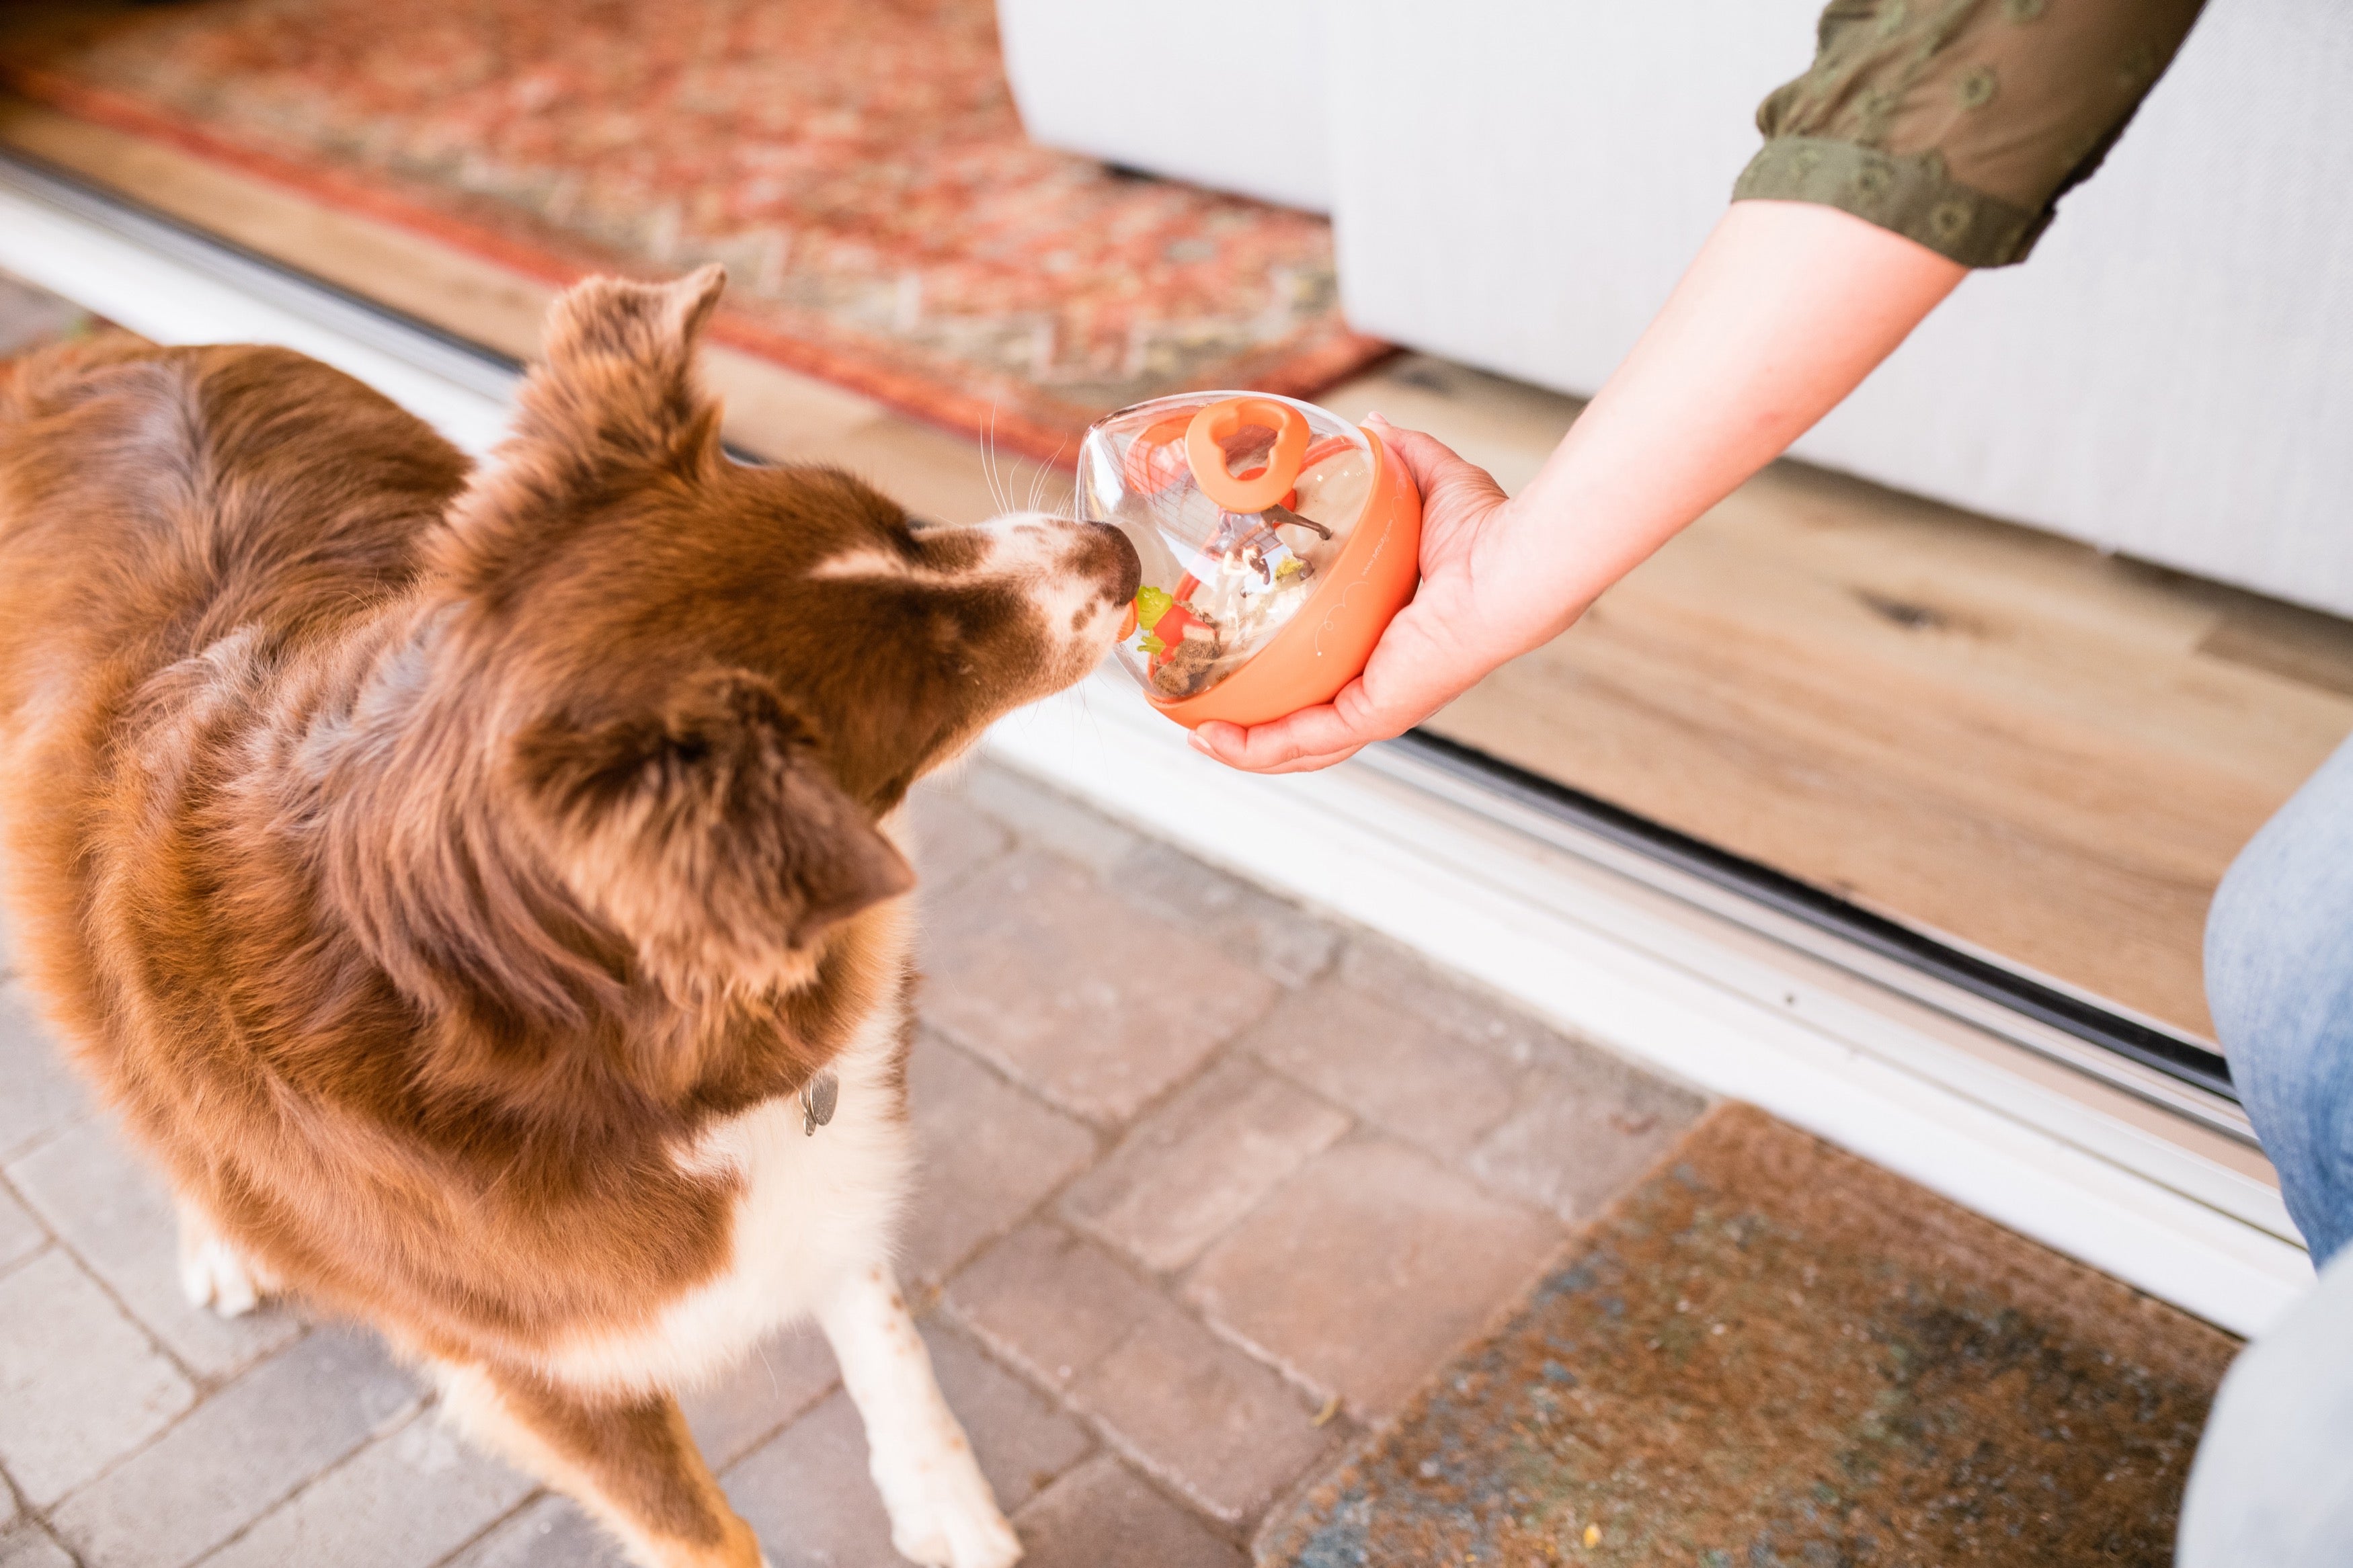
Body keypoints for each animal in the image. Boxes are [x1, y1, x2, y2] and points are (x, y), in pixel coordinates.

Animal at [0, 263, 1139, 1561]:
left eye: (904, 523)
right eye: (934, 679)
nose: (1116, 548)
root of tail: (91, 357)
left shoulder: (821, 1157)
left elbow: (877, 1319)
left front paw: (940, 1497)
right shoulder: (533, 1362)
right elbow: (703, 1534)